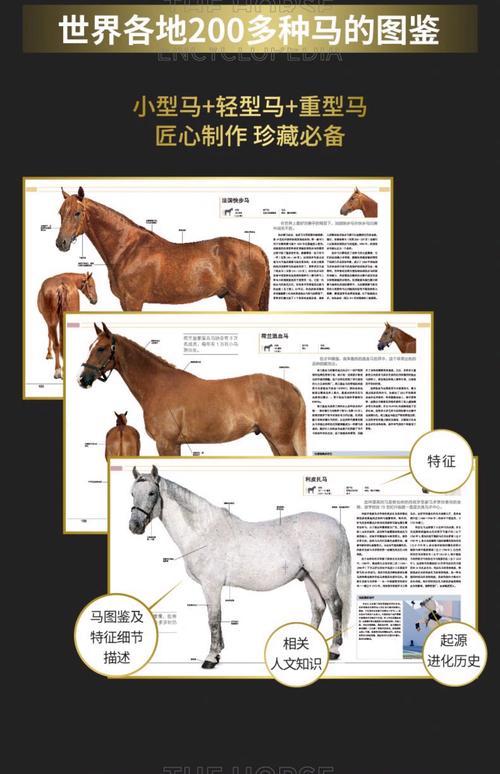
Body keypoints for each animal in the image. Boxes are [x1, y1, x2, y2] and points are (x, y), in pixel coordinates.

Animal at [55, 187, 270, 311]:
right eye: (60, 212)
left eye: (77, 213)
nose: (61, 243)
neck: (127, 249)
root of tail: (258, 249)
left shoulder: (133, 302)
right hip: (231, 300)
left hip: (248, 303)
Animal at [79, 322, 307, 456]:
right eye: (90, 347)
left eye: (101, 349)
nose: (82, 379)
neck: (158, 386)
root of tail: (290, 386)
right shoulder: (175, 445)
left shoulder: (166, 443)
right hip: (272, 440)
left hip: (281, 441)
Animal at [129, 466, 351, 668]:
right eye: (132, 493)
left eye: (151, 493)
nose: (134, 526)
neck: (203, 532)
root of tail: (337, 524)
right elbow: (217, 618)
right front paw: (218, 653)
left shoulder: (211, 585)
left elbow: (213, 618)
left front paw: (210, 658)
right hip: (308, 577)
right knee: (318, 607)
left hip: (323, 578)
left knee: (335, 605)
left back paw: (334, 650)